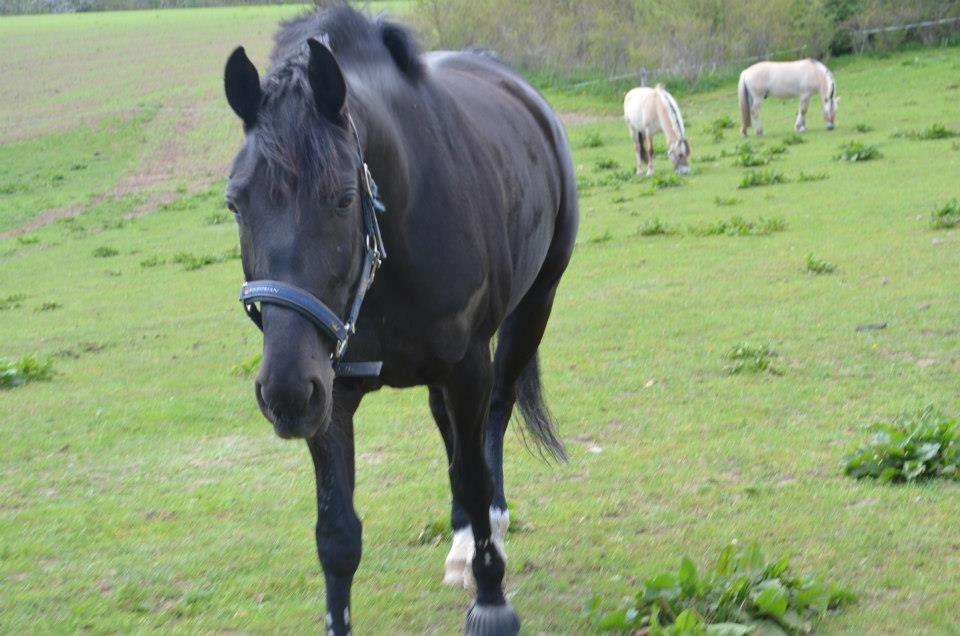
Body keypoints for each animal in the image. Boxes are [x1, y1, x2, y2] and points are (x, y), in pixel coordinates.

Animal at [221, 6, 576, 636]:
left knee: (494, 420)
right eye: (236, 203)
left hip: (532, 310)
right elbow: (337, 534)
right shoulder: (329, 391)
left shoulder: (467, 367)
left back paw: (489, 531)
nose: (283, 391)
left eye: (342, 199)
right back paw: (460, 542)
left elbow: (474, 475)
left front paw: (491, 599)